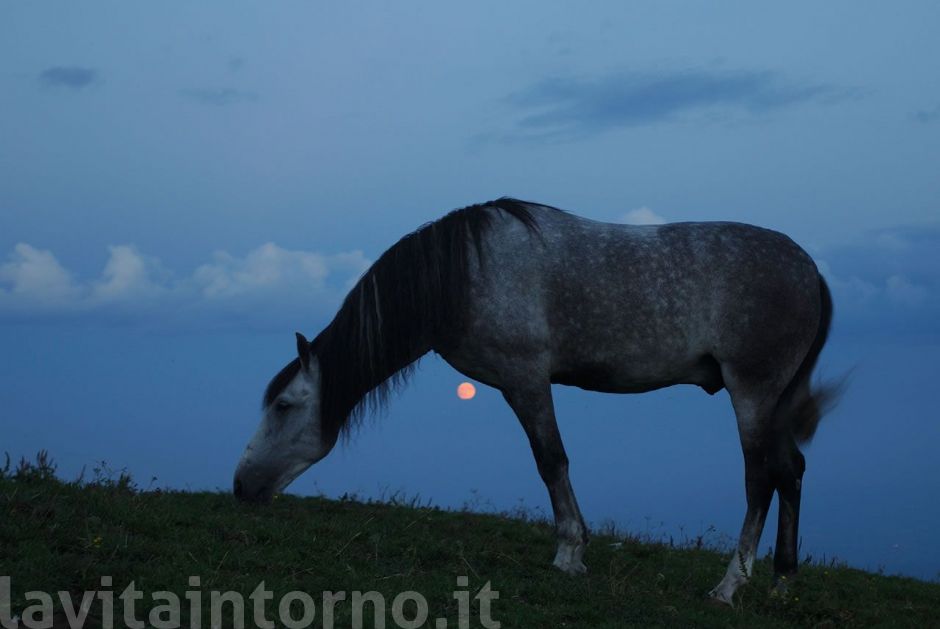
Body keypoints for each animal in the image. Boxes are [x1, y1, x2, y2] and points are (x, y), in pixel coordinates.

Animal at [233, 198, 838, 605]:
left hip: (753, 392)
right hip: (775, 400)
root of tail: (810, 271)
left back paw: (730, 585)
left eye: (284, 405)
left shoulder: (525, 380)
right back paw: (782, 580)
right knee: (792, 470)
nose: (242, 487)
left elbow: (551, 461)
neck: (463, 274)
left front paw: (570, 553)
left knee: (760, 478)